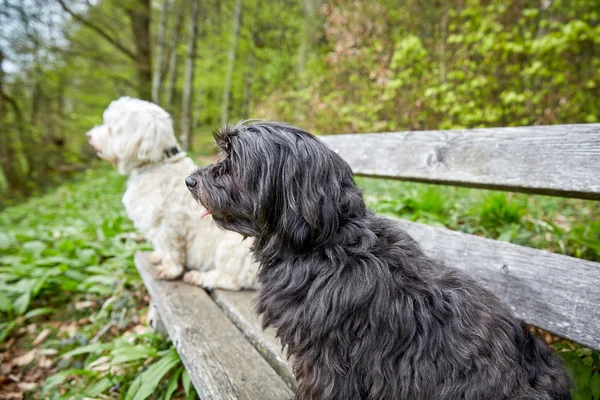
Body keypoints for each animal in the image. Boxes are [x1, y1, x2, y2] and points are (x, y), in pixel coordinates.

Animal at [86, 97, 258, 290]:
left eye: (110, 128)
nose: (89, 135)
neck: (157, 163)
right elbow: (161, 247)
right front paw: (157, 257)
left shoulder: (168, 225)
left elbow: (170, 249)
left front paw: (170, 269)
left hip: (229, 249)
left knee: (231, 280)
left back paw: (198, 277)